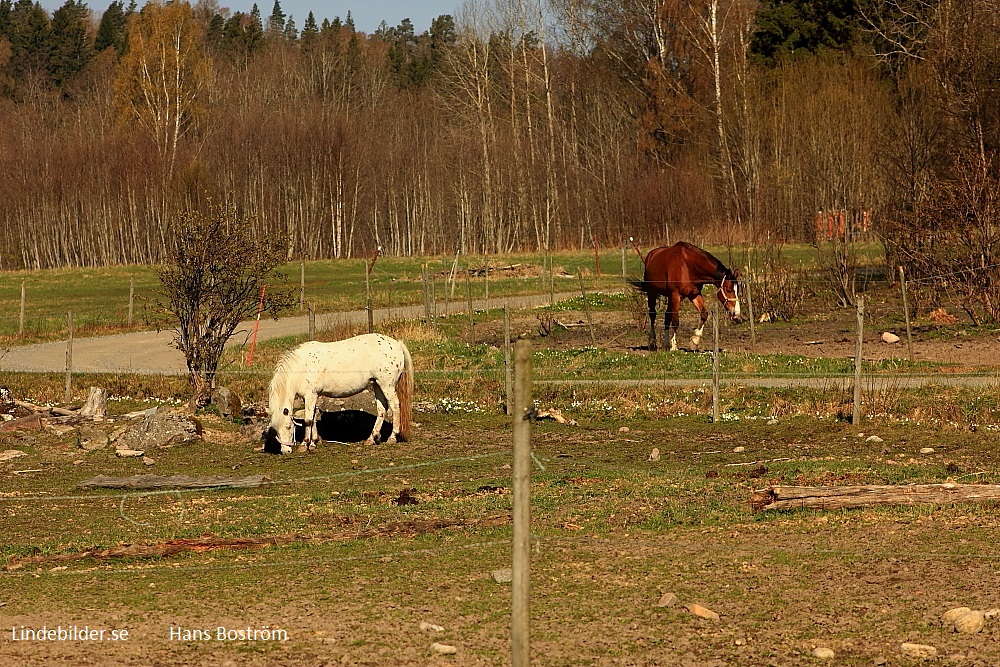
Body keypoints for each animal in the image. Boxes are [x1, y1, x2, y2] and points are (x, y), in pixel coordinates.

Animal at [264, 334, 412, 454]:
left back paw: (392, 437)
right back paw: (372, 438)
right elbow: (313, 417)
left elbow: (308, 420)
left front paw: (304, 445)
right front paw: (314, 442)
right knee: (382, 410)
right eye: (276, 430)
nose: (285, 451)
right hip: (377, 385)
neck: (302, 367)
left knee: (395, 407)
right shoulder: (311, 397)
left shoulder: (311, 395)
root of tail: (396, 344)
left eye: (289, 427)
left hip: (387, 386)